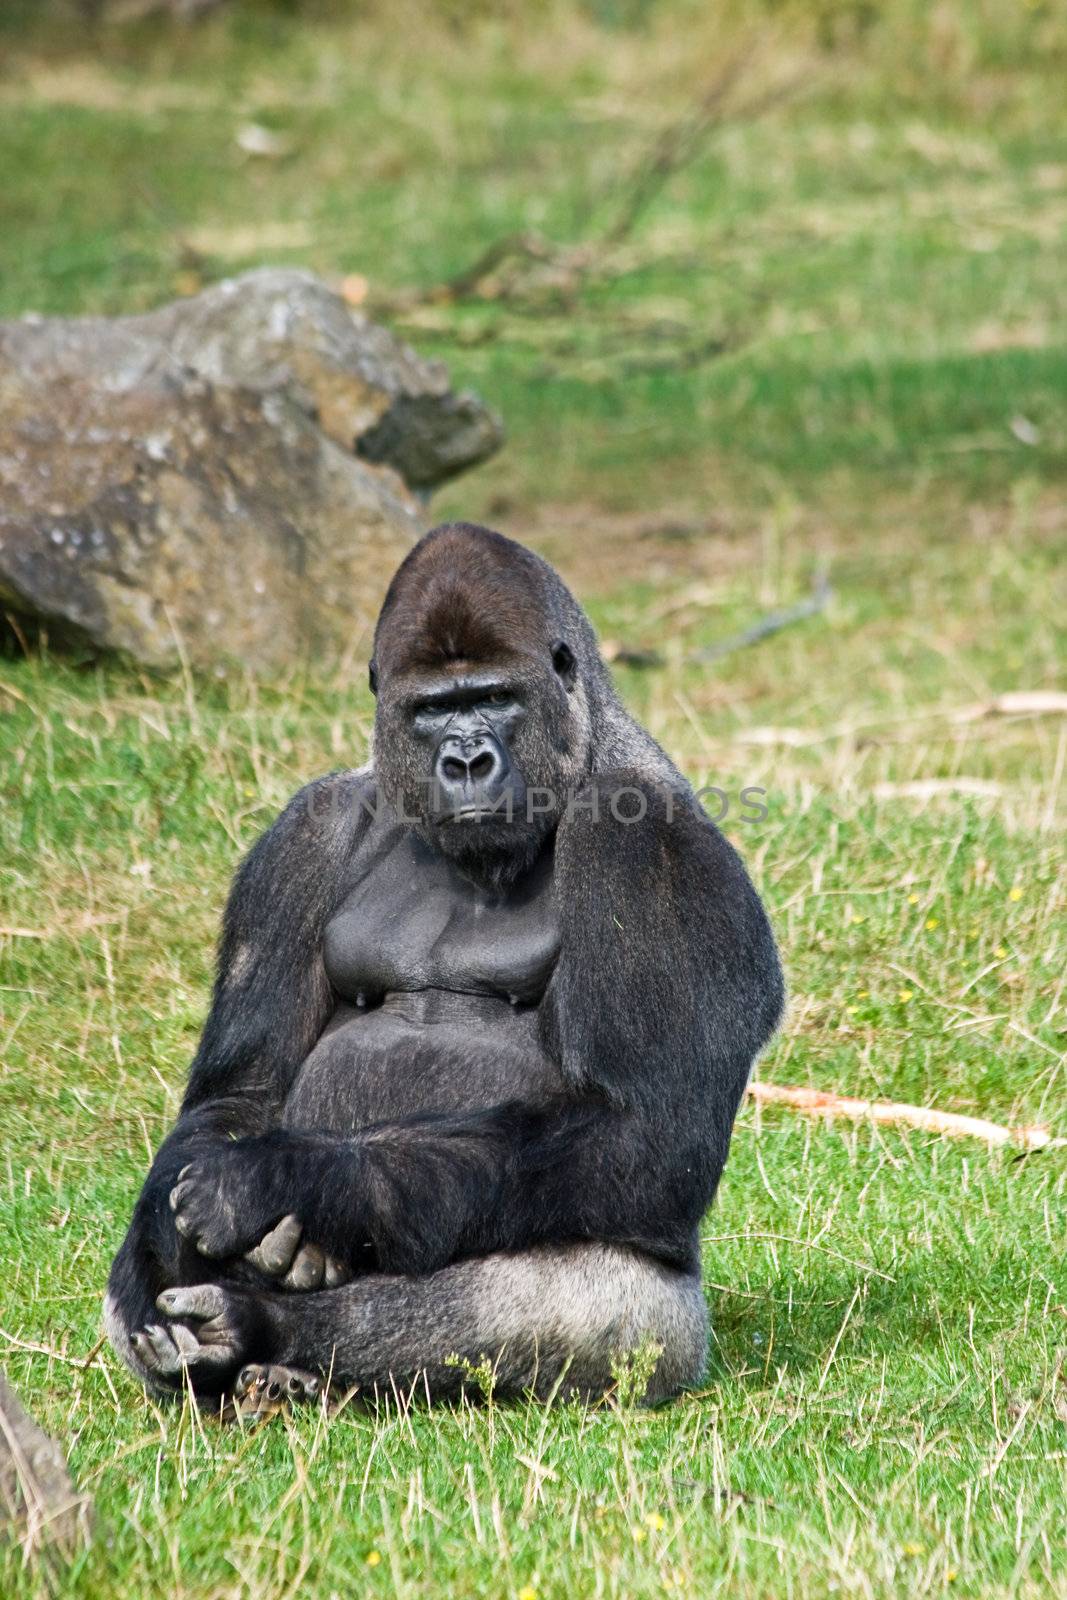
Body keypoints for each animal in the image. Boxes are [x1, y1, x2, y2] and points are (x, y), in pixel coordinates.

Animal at [103, 521, 783, 1414]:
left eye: (494, 697)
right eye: (432, 710)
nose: (464, 762)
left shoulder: (650, 847)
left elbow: (644, 1132)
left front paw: (288, 1181)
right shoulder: (303, 835)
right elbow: (240, 1091)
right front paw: (167, 1239)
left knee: (590, 1303)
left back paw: (263, 1336)